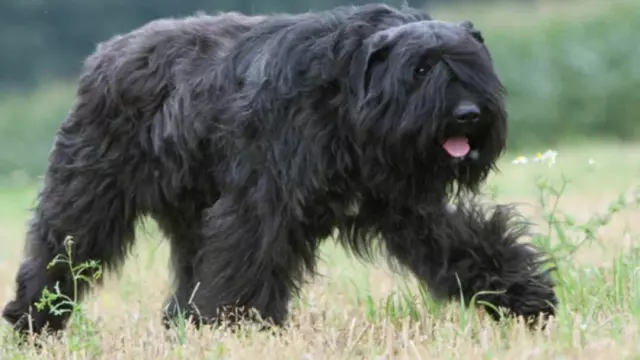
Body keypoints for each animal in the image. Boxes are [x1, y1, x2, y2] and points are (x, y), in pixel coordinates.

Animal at [2, 2, 556, 336]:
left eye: (472, 65)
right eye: (420, 69)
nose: (468, 114)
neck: (345, 97)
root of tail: (106, 54)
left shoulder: (408, 203)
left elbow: (464, 240)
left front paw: (524, 294)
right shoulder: (263, 202)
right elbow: (251, 257)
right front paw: (239, 326)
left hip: (191, 213)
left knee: (190, 267)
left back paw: (184, 324)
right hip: (89, 194)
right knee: (60, 250)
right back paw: (34, 319)